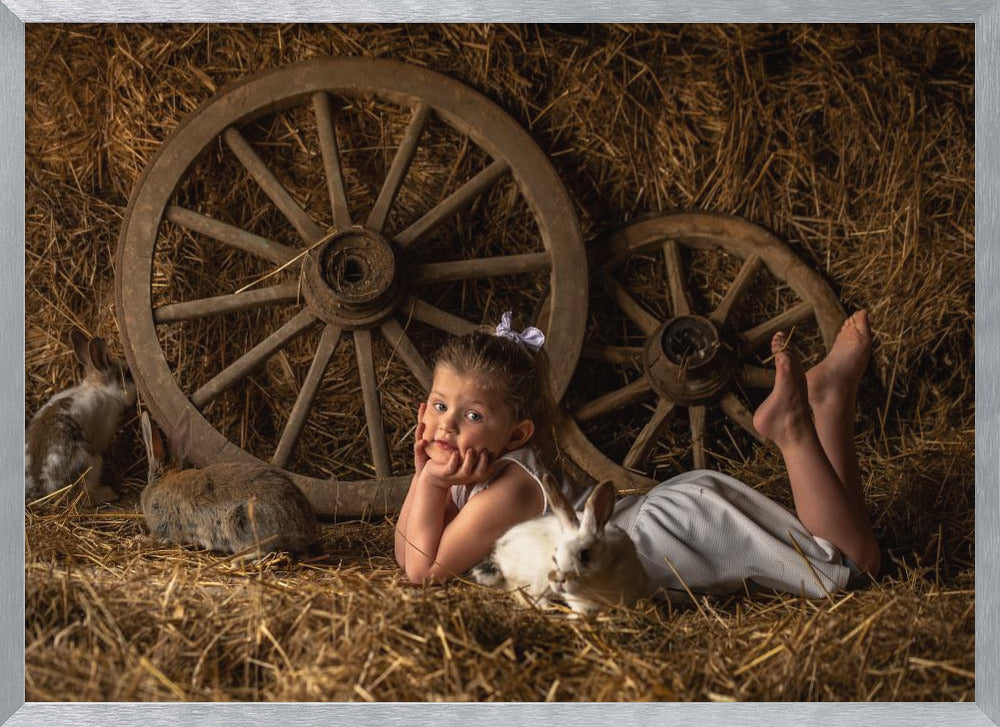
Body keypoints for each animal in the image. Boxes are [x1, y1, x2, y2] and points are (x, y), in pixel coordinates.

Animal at [25, 332, 137, 506]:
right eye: (127, 375)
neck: (102, 390)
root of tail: (46, 489)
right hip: (92, 462)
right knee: (88, 497)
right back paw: (109, 494)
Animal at [470, 474, 648, 616]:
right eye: (555, 558)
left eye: (585, 555)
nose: (559, 579)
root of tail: (499, 553)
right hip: (536, 580)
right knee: (523, 593)